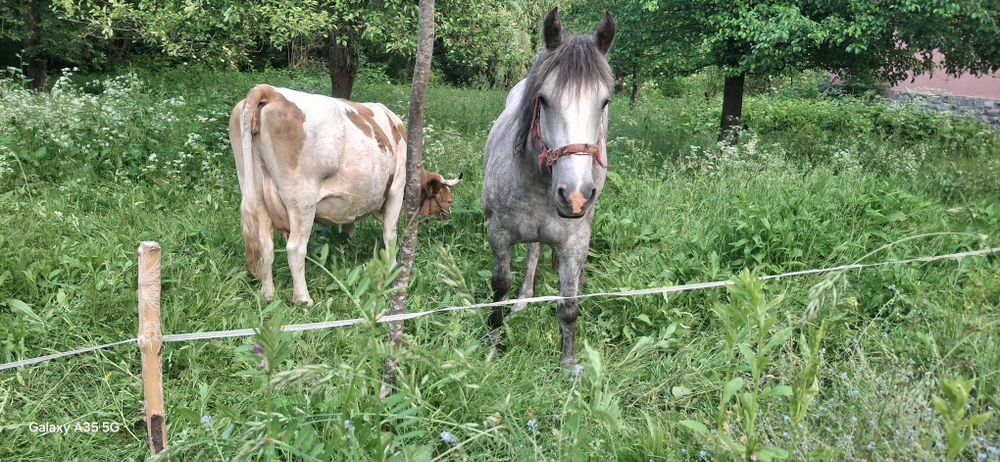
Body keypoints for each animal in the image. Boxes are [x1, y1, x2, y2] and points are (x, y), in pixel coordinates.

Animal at [229, 85, 461, 306]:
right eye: (448, 199)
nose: (448, 216)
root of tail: (270, 91)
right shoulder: (397, 188)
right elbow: (390, 233)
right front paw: (393, 267)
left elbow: (349, 224)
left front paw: (347, 247)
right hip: (302, 200)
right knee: (295, 248)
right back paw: (303, 299)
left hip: (255, 192)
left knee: (265, 247)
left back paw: (268, 295)